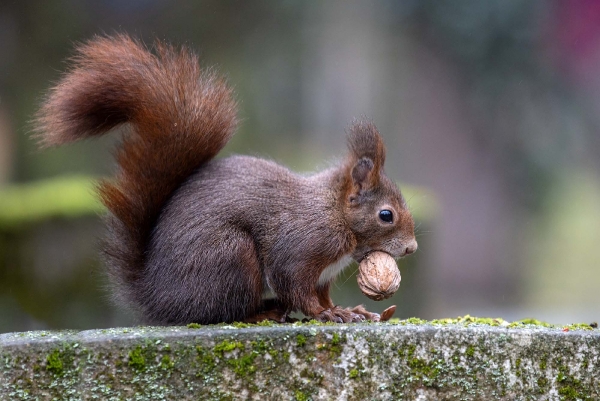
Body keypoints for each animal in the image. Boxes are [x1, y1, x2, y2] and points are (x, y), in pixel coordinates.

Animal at [34, 32, 418, 324]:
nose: (412, 248)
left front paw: (345, 310)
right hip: (230, 256)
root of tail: (157, 297)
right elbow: (295, 286)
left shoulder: (323, 274)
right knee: (223, 311)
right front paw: (326, 315)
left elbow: (320, 294)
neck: (334, 212)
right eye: (386, 215)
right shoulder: (302, 247)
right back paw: (262, 312)